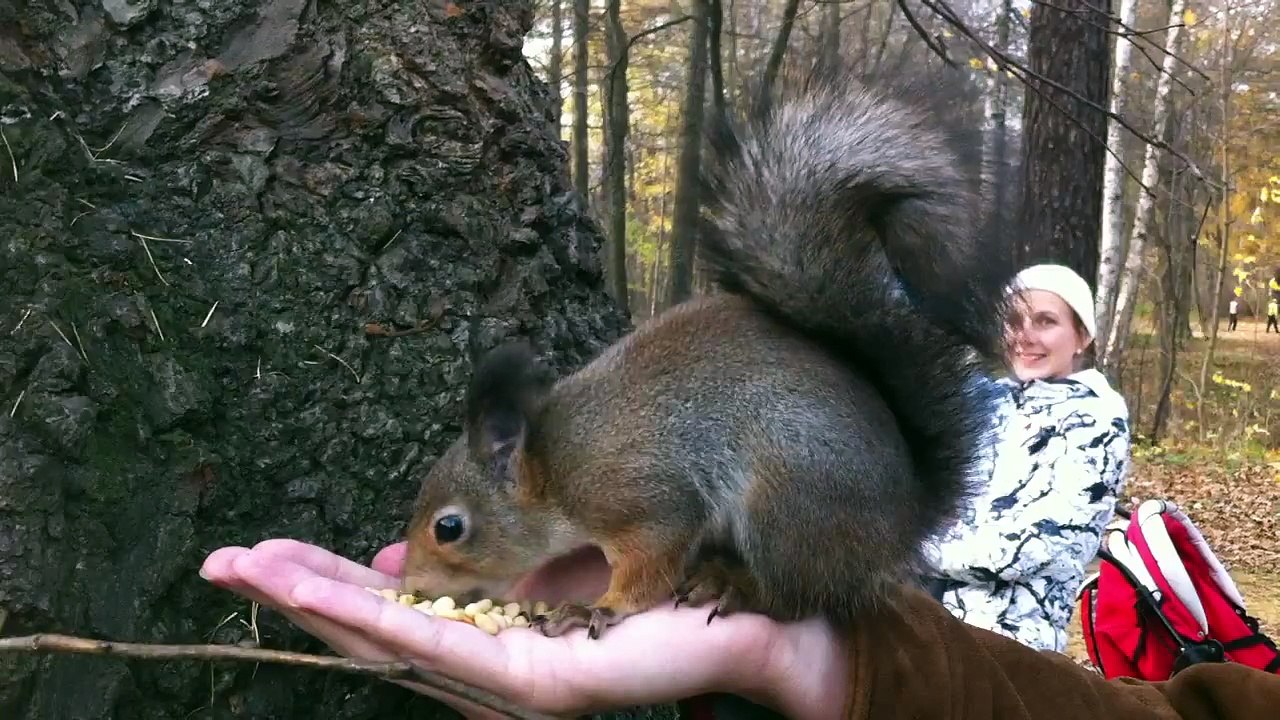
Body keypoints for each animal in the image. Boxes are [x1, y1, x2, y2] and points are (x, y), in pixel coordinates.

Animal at [399, 65, 1017, 640]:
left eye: (448, 528)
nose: (411, 585)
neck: (556, 462)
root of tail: (904, 524)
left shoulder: (644, 499)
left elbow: (650, 565)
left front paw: (598, 607)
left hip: (788, 503)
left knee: (796, 598)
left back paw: (738, 589)